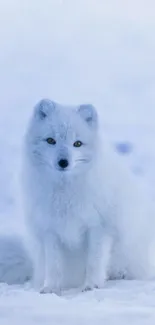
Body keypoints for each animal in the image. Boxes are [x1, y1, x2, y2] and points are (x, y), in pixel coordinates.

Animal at [20, 97, 155, 292]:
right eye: (51, 140)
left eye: (77, 143)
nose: (63, 162)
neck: (65, 193)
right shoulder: (50, 230)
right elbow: (54, 265)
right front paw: (50, 288)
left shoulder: (98, 226)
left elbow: (94, 261)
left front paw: (92, 286)